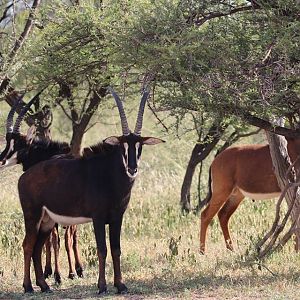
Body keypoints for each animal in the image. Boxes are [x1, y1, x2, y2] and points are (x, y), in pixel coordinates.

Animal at [0, 96, 83, 284]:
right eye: (7, 141)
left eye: (19, 145)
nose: (1, 160)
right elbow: (50, 241)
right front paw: (48, 271)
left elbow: (52, 240)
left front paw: (53, 273)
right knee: (71, 237)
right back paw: (76, 270)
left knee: (63, 239)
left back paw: (68, 273)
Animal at [16, 88, 164, 294]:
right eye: (123, 146)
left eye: (139, 146)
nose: (132, 168)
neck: (110, 177)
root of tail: (23, 177)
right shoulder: (98, 218)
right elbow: (102, 249)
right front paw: (102, 286)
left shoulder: (117, 218)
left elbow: (116, 249)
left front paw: (121, 285)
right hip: (33, 216)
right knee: (27, 245)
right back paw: (28, 286)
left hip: (46, 221)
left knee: (37, 247)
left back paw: (44, 286)